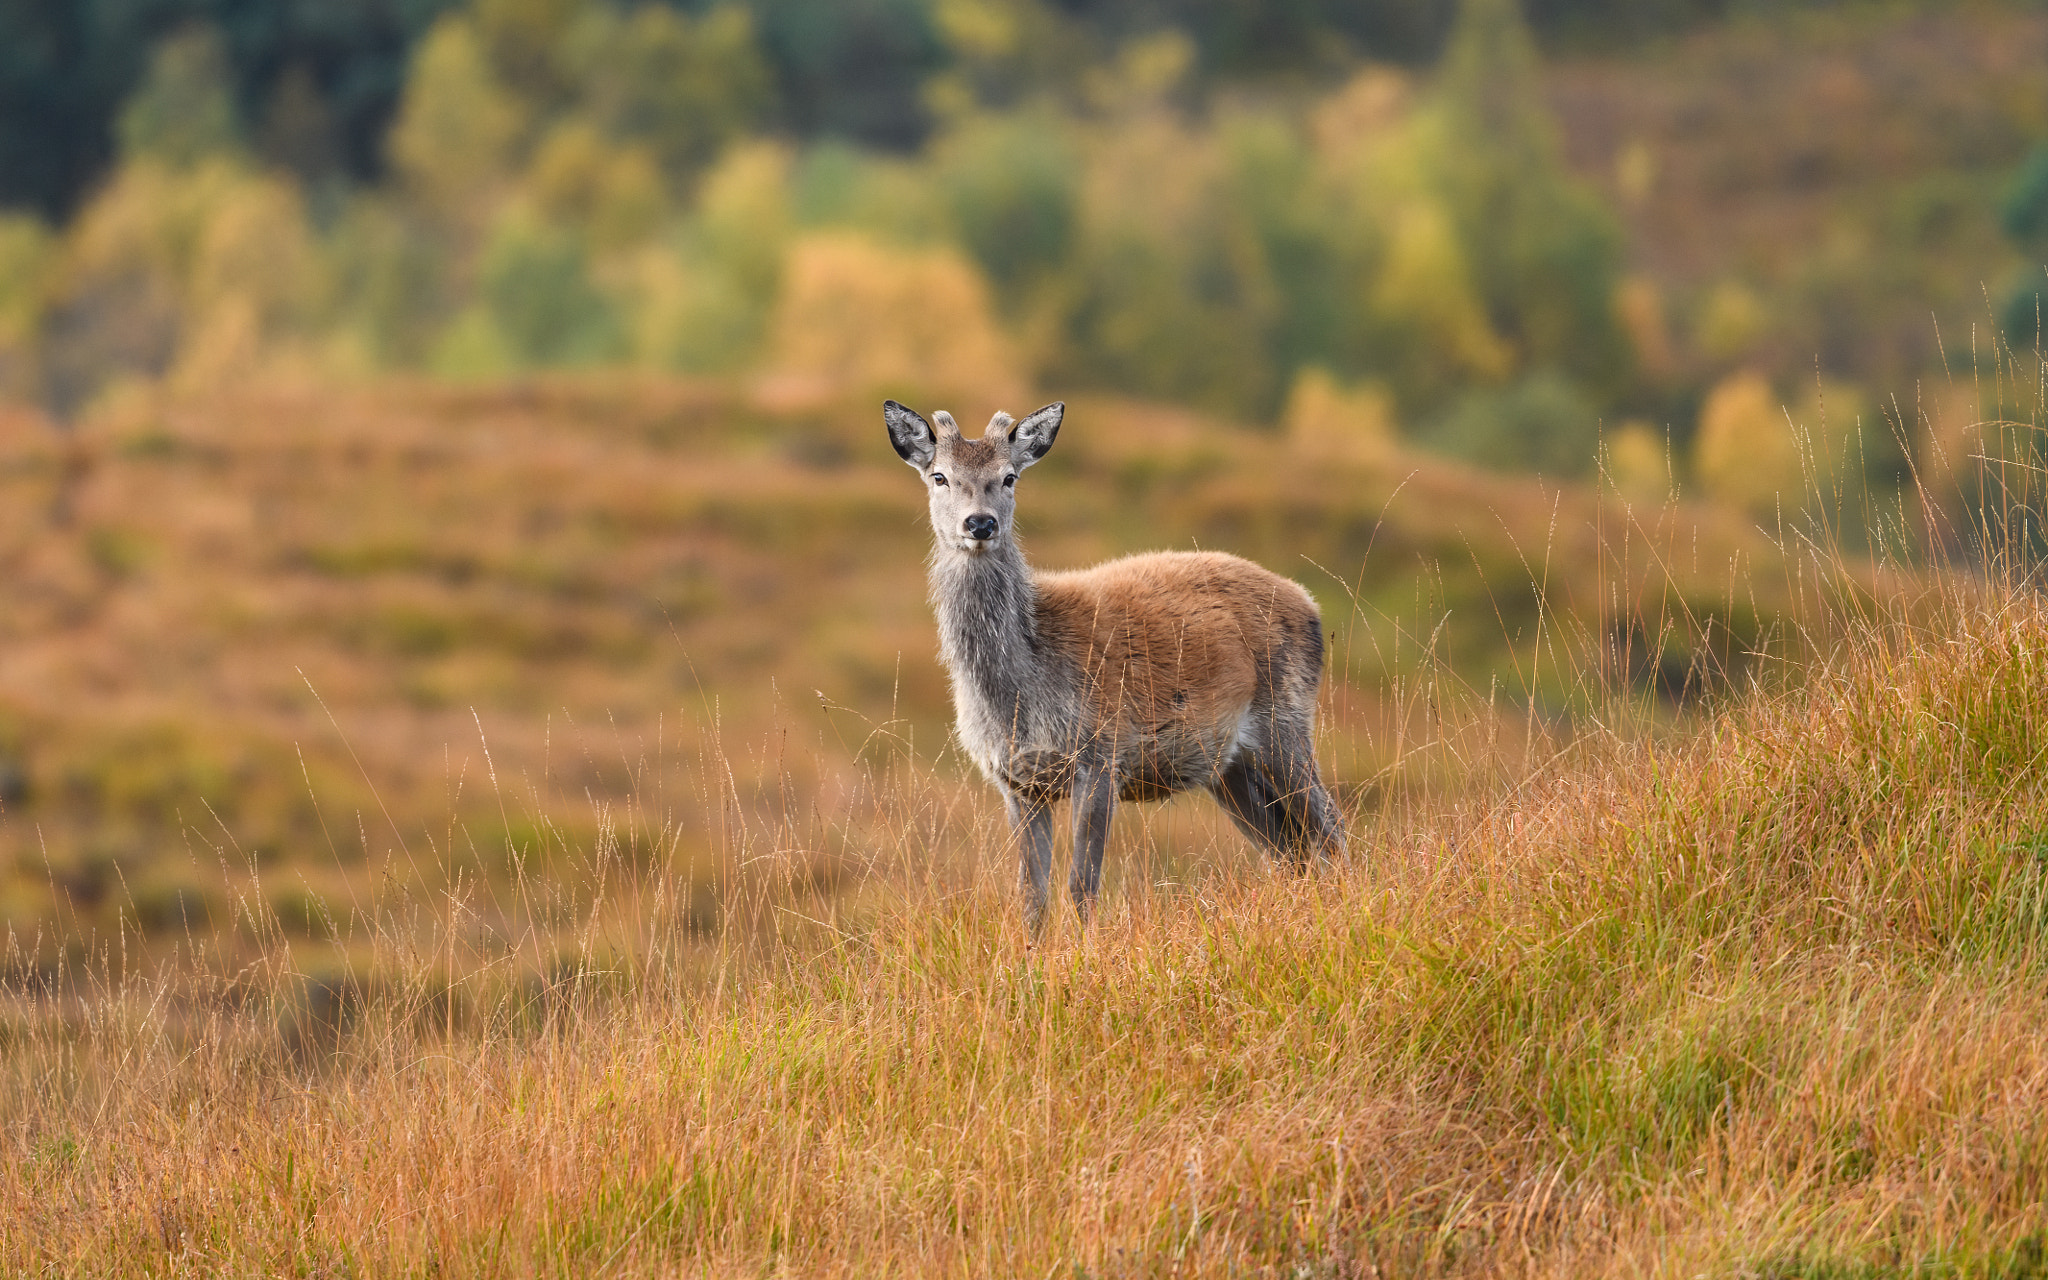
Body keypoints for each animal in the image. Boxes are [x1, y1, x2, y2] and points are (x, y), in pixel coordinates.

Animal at [880, 395, 1343, 933]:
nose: (980, 523)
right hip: (1228, 769)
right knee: (1290, 851)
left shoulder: (1101, 755)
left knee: (1333, 829)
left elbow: (1083, 887)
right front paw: (1033, 955)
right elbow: (1031, 898)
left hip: (1286, 722)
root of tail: (1310, 606)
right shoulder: (1016, 780)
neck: (1022, 689)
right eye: (939, 476)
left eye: (1009, 476)